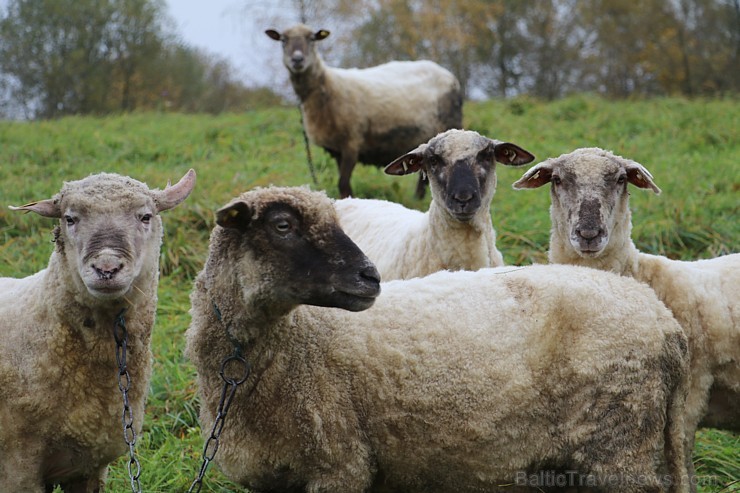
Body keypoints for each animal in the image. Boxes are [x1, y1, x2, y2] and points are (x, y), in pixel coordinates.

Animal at [266, 22, 462, 200]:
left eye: (312, 39)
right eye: (283, 40)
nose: (297, 60)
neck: (328, 87)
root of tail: (450, 76)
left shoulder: (352, 143)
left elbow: (343, 183)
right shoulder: (337, 150)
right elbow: (344, 184)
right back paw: (417, 199)